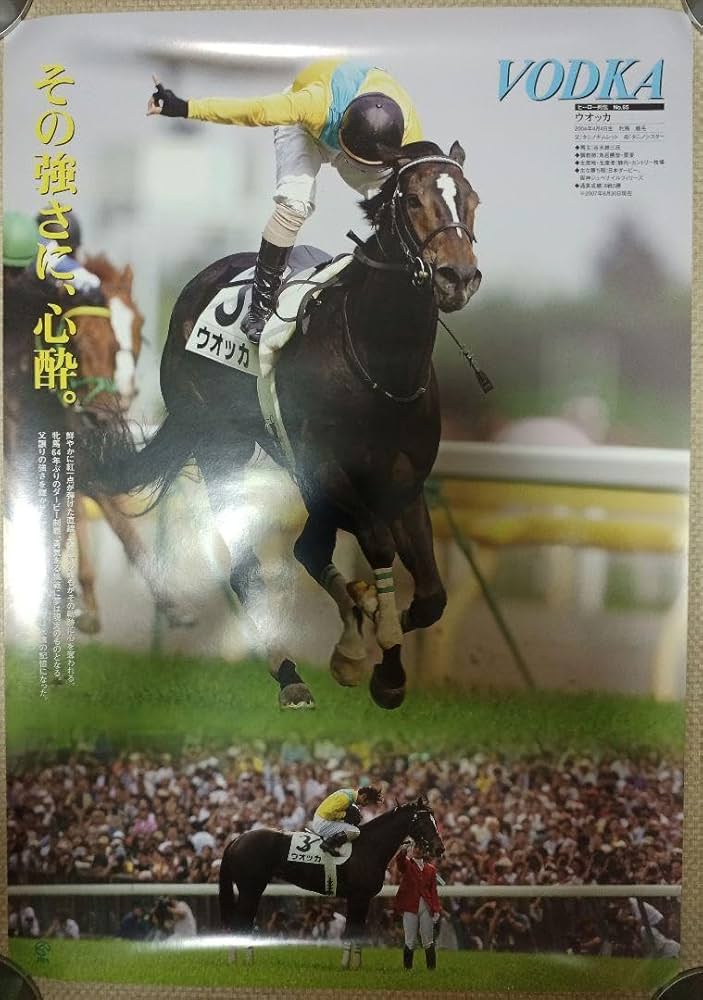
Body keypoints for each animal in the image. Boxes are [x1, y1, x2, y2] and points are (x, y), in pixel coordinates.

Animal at [79, 139, 482, 710]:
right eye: (411, 201)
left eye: (470, 199)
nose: (458, 276)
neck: (383, 366)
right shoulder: (331, 469)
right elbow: (377, 546)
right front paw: (380, 658)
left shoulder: (403, 482)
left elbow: (429, 595)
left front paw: (376, 646)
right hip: (223, 446)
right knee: (246, 567)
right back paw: (290, 672)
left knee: (307, 548)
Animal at [218, 796, 444, 966]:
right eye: (423, 821)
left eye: (434, 819)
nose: (439, 848)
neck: (369, 847)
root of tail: (237, 839)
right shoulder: (358, 897)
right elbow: (351, 931)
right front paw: (346, 964)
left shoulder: (363, 899)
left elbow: (357, 930)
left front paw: (356, 964)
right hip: (251, 889)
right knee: (240, 922)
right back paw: (241, 959)